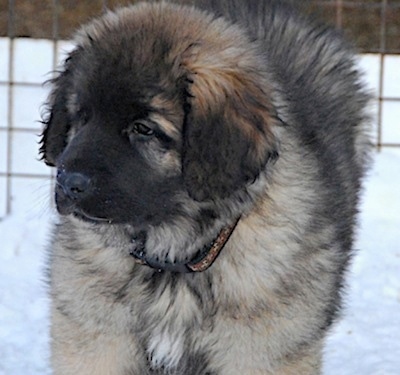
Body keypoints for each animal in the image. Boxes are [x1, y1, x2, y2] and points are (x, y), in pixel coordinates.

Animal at [39, 0, 370, 375]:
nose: (68, 183)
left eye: (144, 129)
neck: (173, 262)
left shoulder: (261, 353)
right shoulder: (97, 341)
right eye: (81, 117)